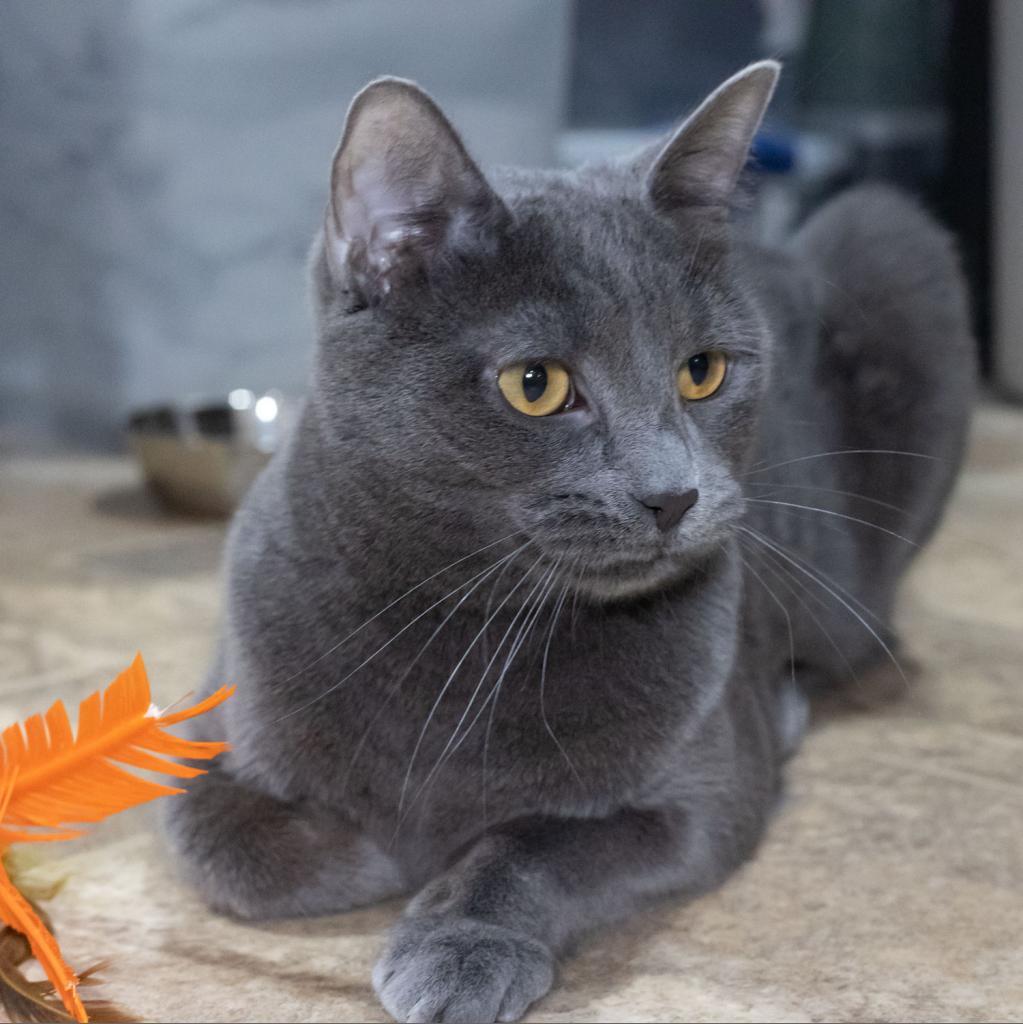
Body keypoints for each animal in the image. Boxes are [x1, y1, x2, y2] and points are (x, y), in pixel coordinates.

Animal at [165, 64, 974, 1024]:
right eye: (535, 385)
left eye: (702, 372)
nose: (672, 494)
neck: (469, 628)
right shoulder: (201, 743)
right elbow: (228, 849)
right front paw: (397, 845)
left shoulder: (699, 798)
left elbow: (534, 844)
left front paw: (456, 929)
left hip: (892, 241)